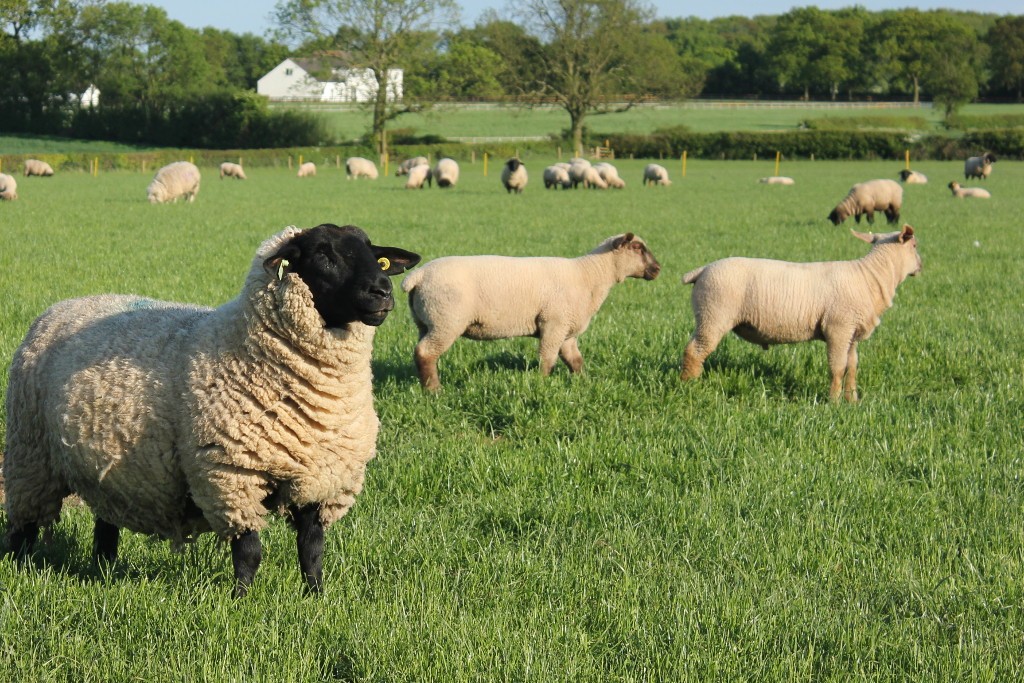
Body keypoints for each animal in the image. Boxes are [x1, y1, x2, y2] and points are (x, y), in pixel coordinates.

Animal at [3, 225, 419, 598]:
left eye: (376, 255)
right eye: (322, 254)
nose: (382, 290)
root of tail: (62, 306)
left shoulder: (322, 481)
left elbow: (312, 551)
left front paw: (315, 598)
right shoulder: (231, 476)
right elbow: (249, 552)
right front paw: (240, 601)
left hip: (109, 468)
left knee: (106, 524)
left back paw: (103, 570)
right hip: (31, 457)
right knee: (23, 526)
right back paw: (19, 568)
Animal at [403, 235, 659, 393]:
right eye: (637, 248)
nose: (658, 269)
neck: (590, 275)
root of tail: (418, 276)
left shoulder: (567, 331)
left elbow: (575, 361)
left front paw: (583, 382)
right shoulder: (554, 323)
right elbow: (548, 359)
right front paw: (542, 384)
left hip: (425, 322)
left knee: (420, 353)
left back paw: (426, 385)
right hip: (446, 321)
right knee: (426, 353)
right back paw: (435, 391)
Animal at [679, 224, 921, 403]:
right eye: (915, 245)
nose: (921, 265)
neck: (871, 276)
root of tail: (702, 270)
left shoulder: (851, 333)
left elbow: (851, 367)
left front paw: (852, 400)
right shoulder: (838, 328)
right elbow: (837, 367)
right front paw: (834, 402)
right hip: (713, 314)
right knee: (694, 350)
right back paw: (689, 385)